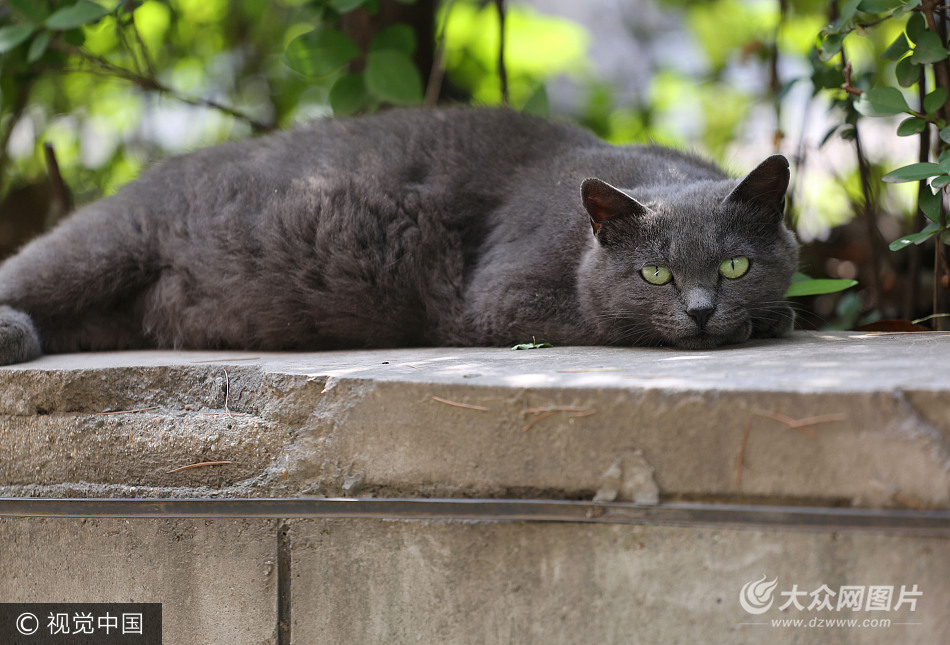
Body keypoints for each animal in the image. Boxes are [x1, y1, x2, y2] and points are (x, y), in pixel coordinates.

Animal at [0, 108, 804, 364]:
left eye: (735, 265)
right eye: (655, 274)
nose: (700, 311)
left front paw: (776, 313)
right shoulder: (498, 296)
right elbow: (604, 319)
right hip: (101, 248)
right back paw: (12, 334)